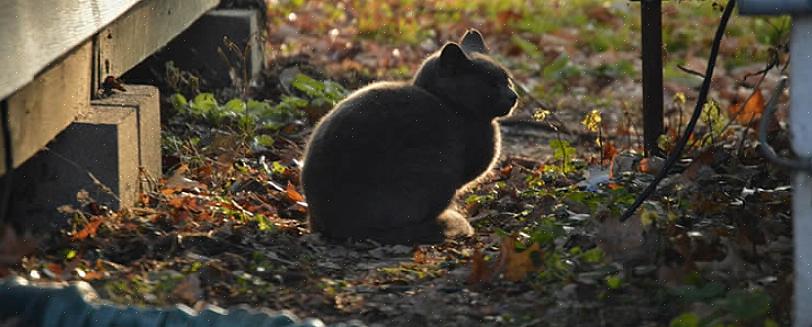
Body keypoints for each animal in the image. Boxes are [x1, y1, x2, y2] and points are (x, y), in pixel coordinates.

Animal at [302, 30, 516, 245]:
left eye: (508, 81)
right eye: (492, 84)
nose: (513, 95)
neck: (451, 106)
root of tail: (327, 224)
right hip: (435, 172)